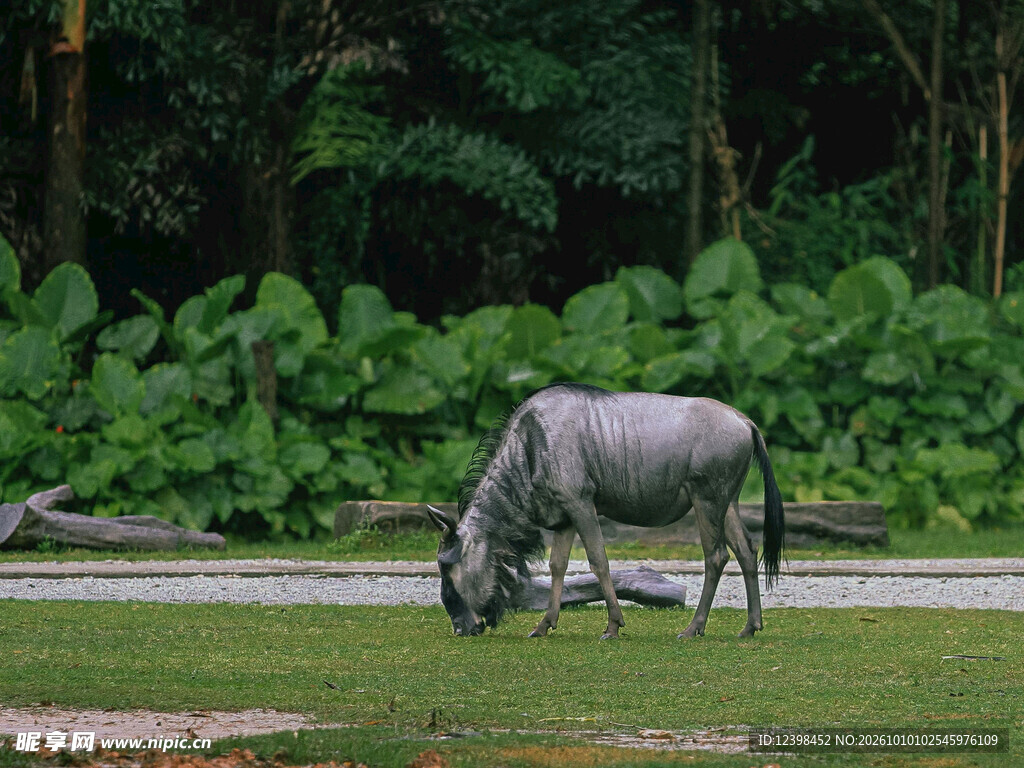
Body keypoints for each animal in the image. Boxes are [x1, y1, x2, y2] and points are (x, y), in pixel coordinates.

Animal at [427, 383, 785, 640]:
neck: (530, 446)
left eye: (446, 566)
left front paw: (613, 626)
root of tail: (746, 422)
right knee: (746, 550)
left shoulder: (581, 503)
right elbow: (557, 566)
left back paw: (693, 628)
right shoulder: (564, 517)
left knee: (716, 556)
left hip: (706, 500)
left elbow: (599, 561)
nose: (460, 628)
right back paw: (750, 627)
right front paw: (544, 625)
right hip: (727, 503)